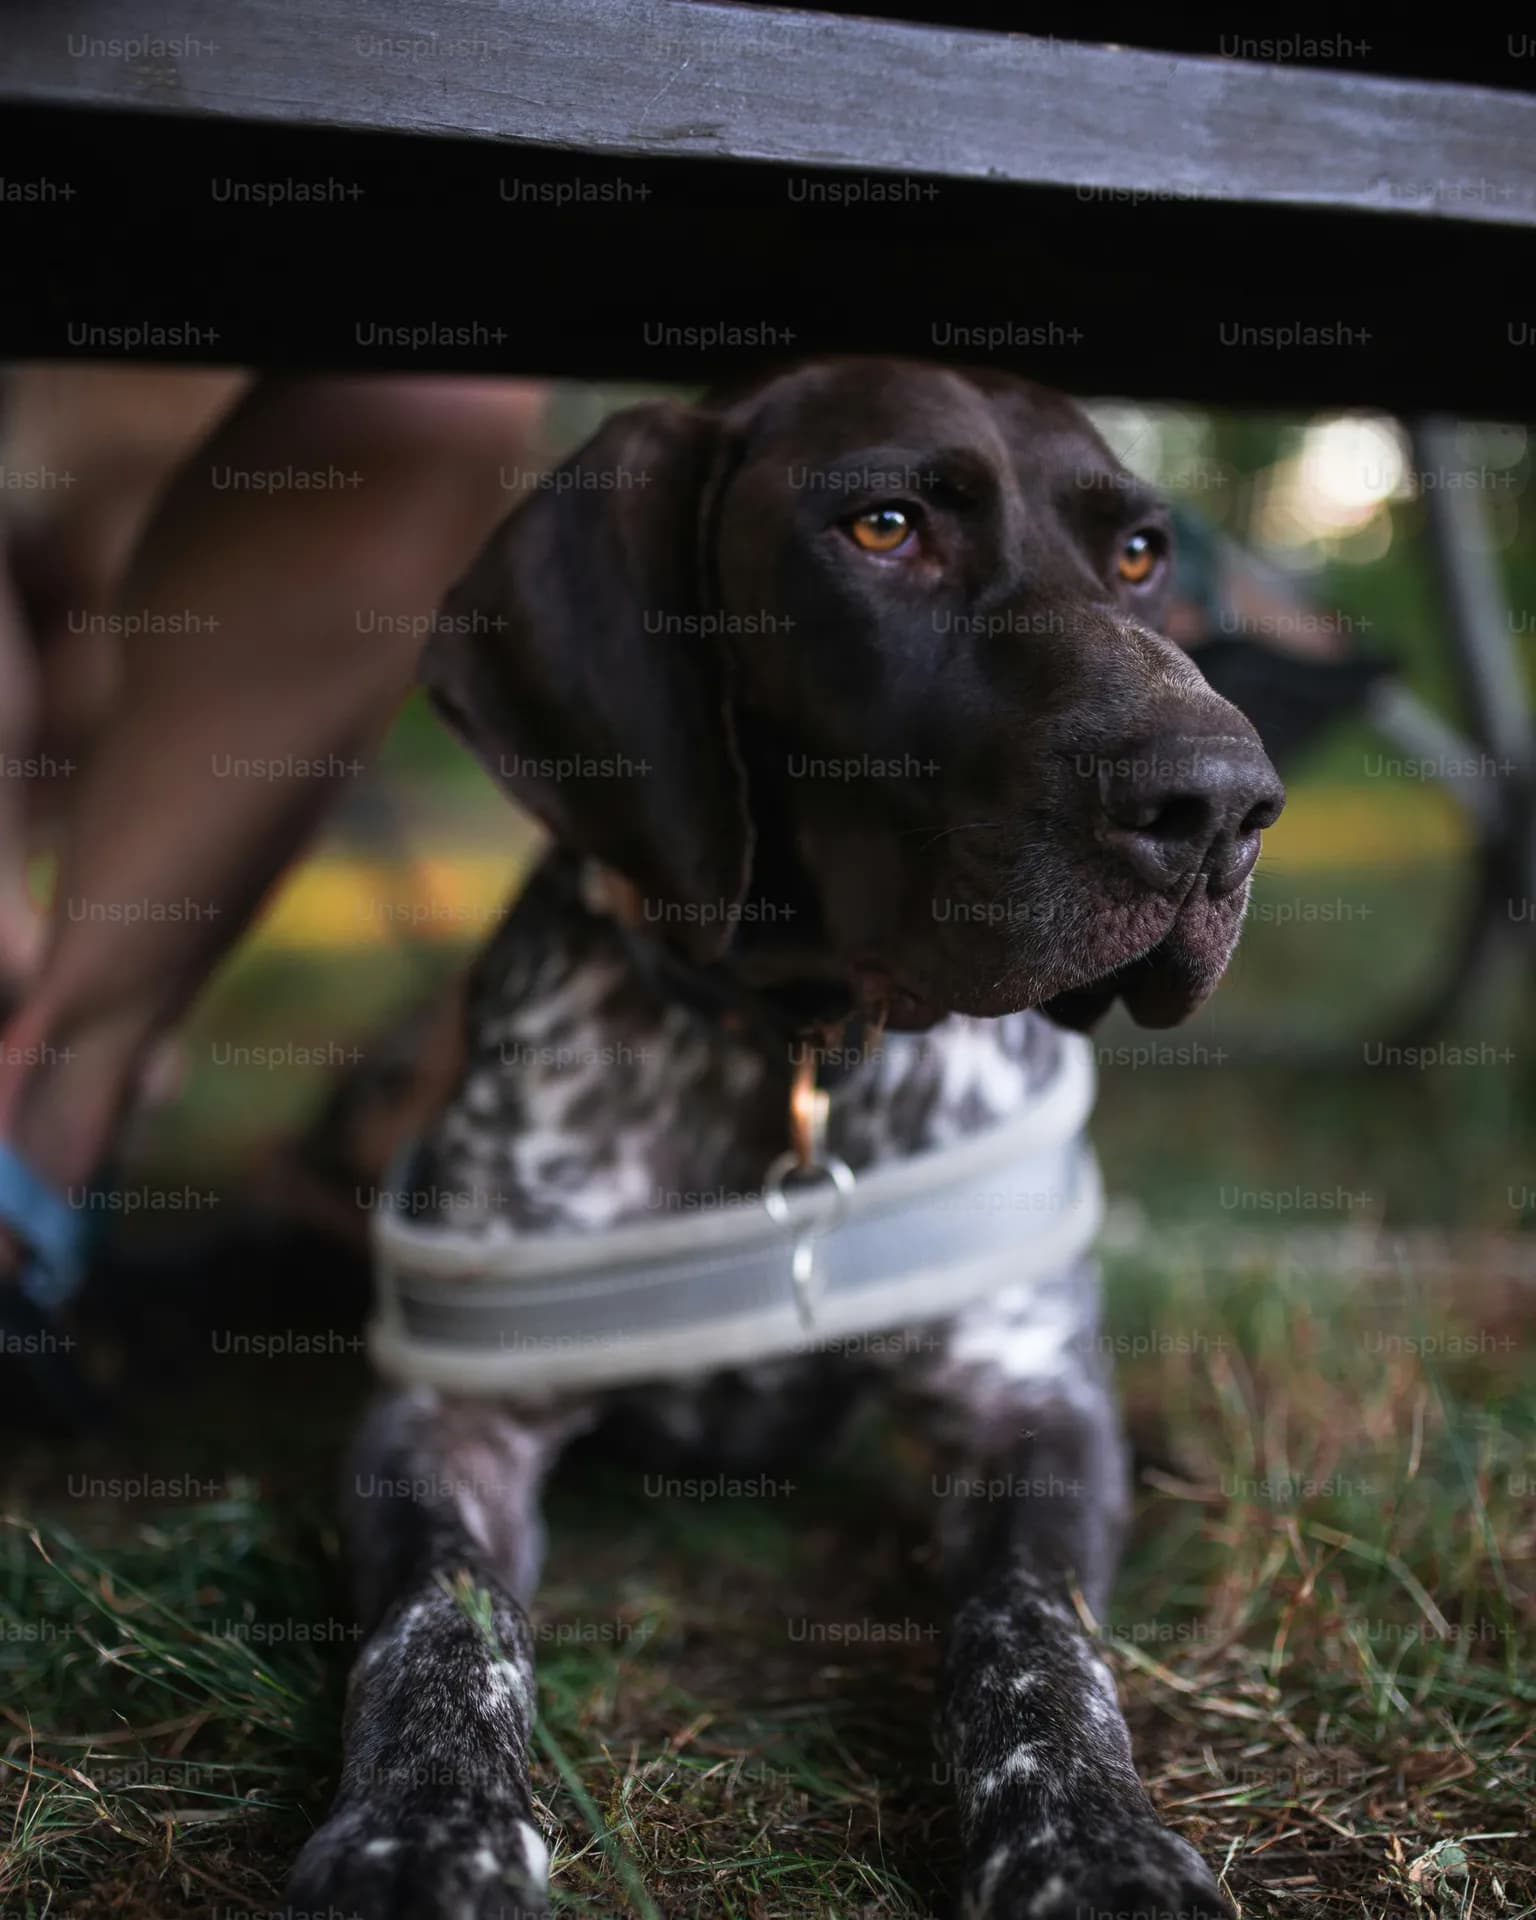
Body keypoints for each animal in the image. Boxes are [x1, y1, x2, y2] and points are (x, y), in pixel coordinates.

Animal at [284, 360, 1282, 1920]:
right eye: (883, 527)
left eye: (1137, 554)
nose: (1225, 802)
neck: (794, 1042)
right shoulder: (449, 1413)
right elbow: (440, 1625)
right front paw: (420, 1831)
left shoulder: (1028, 1397)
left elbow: (1030, 1629)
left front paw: (1089, 1841)